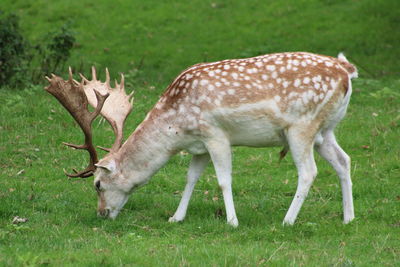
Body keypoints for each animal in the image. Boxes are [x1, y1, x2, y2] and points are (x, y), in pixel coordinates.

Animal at [45, 52, 358, 228]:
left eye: (98, 184)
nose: (101, 213)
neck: (176, 128)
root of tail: (347, 71)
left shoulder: (215, 133)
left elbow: (223, 180)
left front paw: (232, 222)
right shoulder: (199, 146)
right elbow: (191, 178)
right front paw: (176, 217)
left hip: (301, 126)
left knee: (308, 172)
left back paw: (287, 220)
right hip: (325, 130)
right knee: (344, 160)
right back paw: (348, 218)